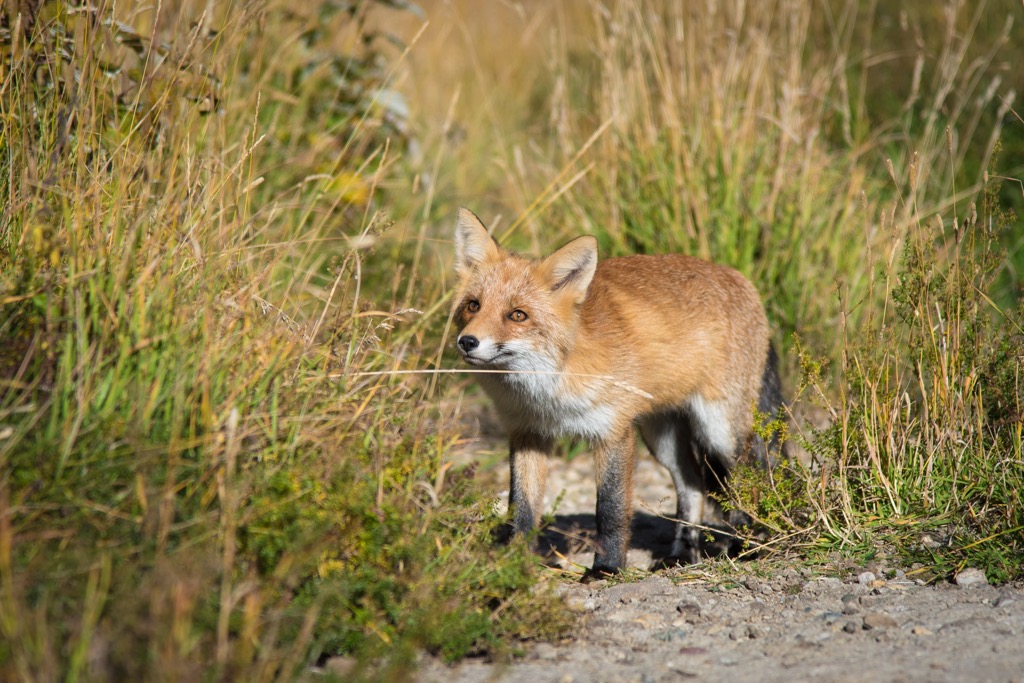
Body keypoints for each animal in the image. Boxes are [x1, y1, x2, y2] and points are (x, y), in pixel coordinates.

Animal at [452, 208, 778, 577]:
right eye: (473, 306)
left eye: (517, 315)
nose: (467, 342)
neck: (549, 393)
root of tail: (742, 279)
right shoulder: (528, 434)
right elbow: (520, 509)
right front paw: (514, 562)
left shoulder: (614, 431)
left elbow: (610, 509)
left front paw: (606, 568)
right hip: (662, 438)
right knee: (693, 486)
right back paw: (681, 555)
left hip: (720, 433)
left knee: (750, 482)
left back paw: (747, 546)